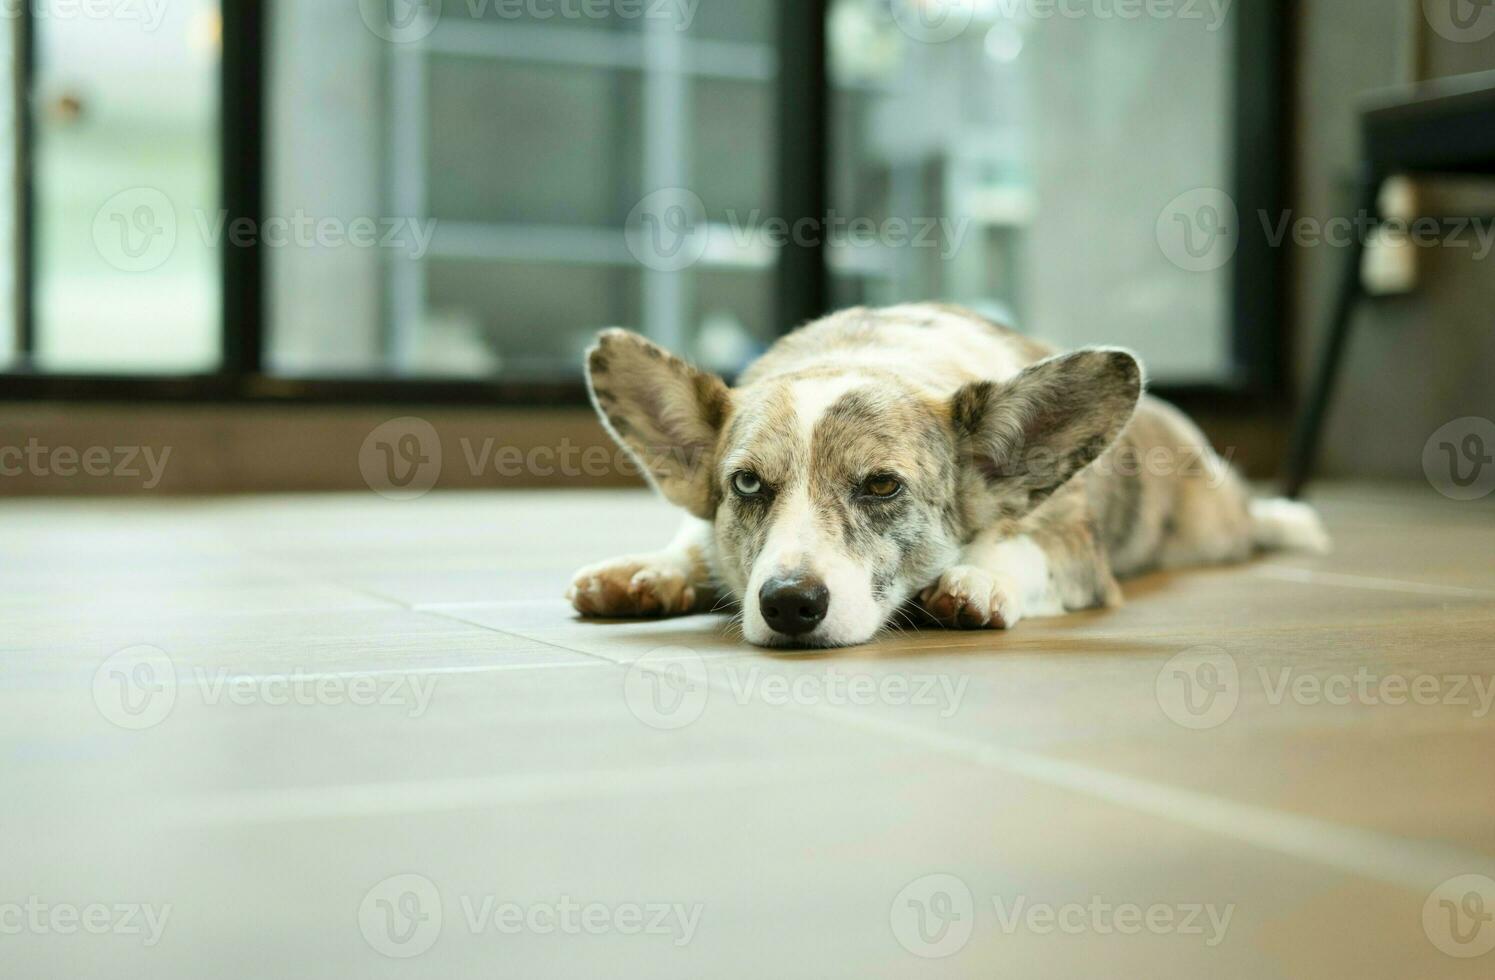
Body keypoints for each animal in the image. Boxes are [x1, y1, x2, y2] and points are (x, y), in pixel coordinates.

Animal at [565, 301, 1327, 648]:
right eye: (746, 485)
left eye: (881, 485)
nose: (787, 605)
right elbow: (692, 540)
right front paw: (649, 571)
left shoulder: (1074, 551)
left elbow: (1016, 550)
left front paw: (974, 581)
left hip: (1214, 527)